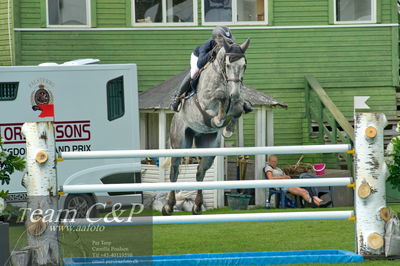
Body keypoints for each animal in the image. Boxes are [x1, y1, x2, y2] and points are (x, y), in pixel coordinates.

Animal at [160, 39, 248, 216]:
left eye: (244, 65)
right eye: (228, 65)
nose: (234, 93)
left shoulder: (236, 103)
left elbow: (238, 107)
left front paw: (228, 129)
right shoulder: (206, 100)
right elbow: (220, 97)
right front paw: (218, 120)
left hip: (208, 145)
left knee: (200, 172)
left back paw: (197, 206)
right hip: (180, 142)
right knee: (174, 171)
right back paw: (168, 206)